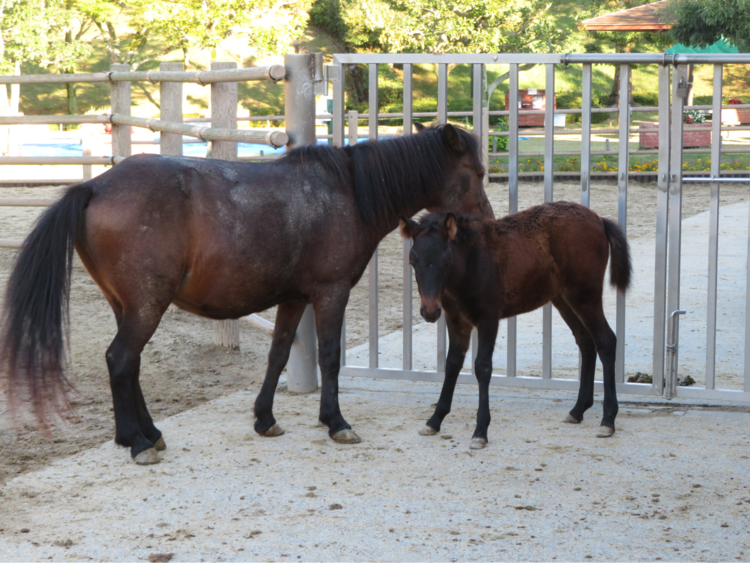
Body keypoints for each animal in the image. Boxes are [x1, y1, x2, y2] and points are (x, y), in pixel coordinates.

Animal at [0, 124, 493, 464]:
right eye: (475, 173)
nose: (487, 222)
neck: (349, 192)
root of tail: (93, 186)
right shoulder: (330, 293)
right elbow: (329, 356)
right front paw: (335, 422)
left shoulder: (294, 298)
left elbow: (278, 354)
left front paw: (265, 418)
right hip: (146, 305)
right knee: (120, 359)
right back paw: (136, 442)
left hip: (128, 305)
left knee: (130, 362)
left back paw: (148, 432)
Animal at [399, 201, 631, 449]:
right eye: (413, 262)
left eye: (447, 260)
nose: (429, 311)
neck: (471, 264)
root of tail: (598, 219)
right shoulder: (457, 322)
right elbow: (452, 364)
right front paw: (434, 420)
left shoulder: (488, 319)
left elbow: (482, 367)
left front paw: (480, 431)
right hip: (563, 298)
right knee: (586, 342)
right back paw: (577, 410)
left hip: (585, 295)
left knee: (605, 341)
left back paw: (608, 419)